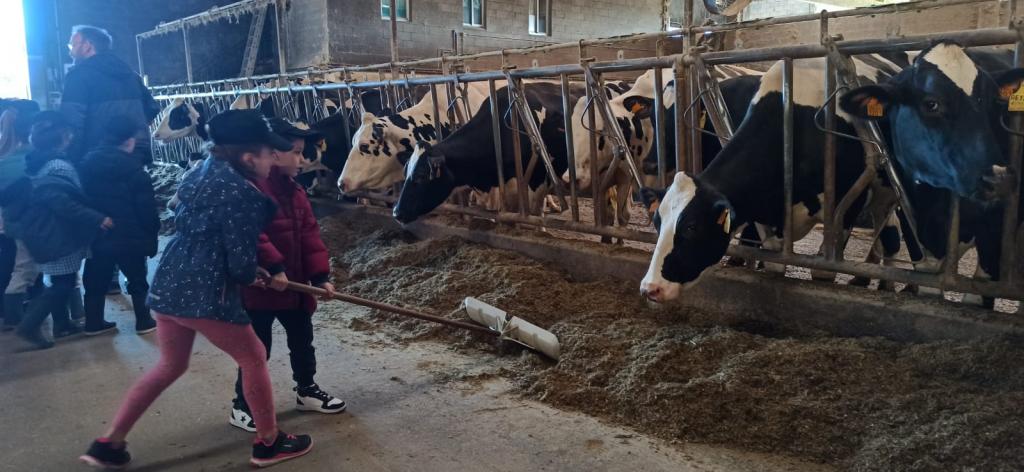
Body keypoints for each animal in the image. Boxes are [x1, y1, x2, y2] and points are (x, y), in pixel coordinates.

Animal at [639, 53, 916, 303]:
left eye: (691, 227)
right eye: (657, 222)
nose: (651, 288)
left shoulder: (846, 209)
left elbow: (822, 274)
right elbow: (773, 266)